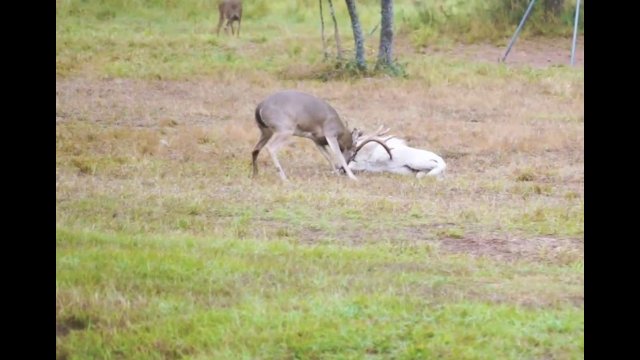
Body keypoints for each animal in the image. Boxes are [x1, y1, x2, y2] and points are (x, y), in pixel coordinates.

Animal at [252, 89, 392, 181]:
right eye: (354, 155)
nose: (342, 170)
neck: (341, 131)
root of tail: (260, 107)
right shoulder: (330, 133)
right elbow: (337, 154)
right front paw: (352, 177)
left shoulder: (316, 139)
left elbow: (328, 156)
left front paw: (335, 173)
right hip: (284, 129)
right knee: (271, 148)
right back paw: (284, 178)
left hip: (265, 131)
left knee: (255, 149)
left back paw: (255, 174)